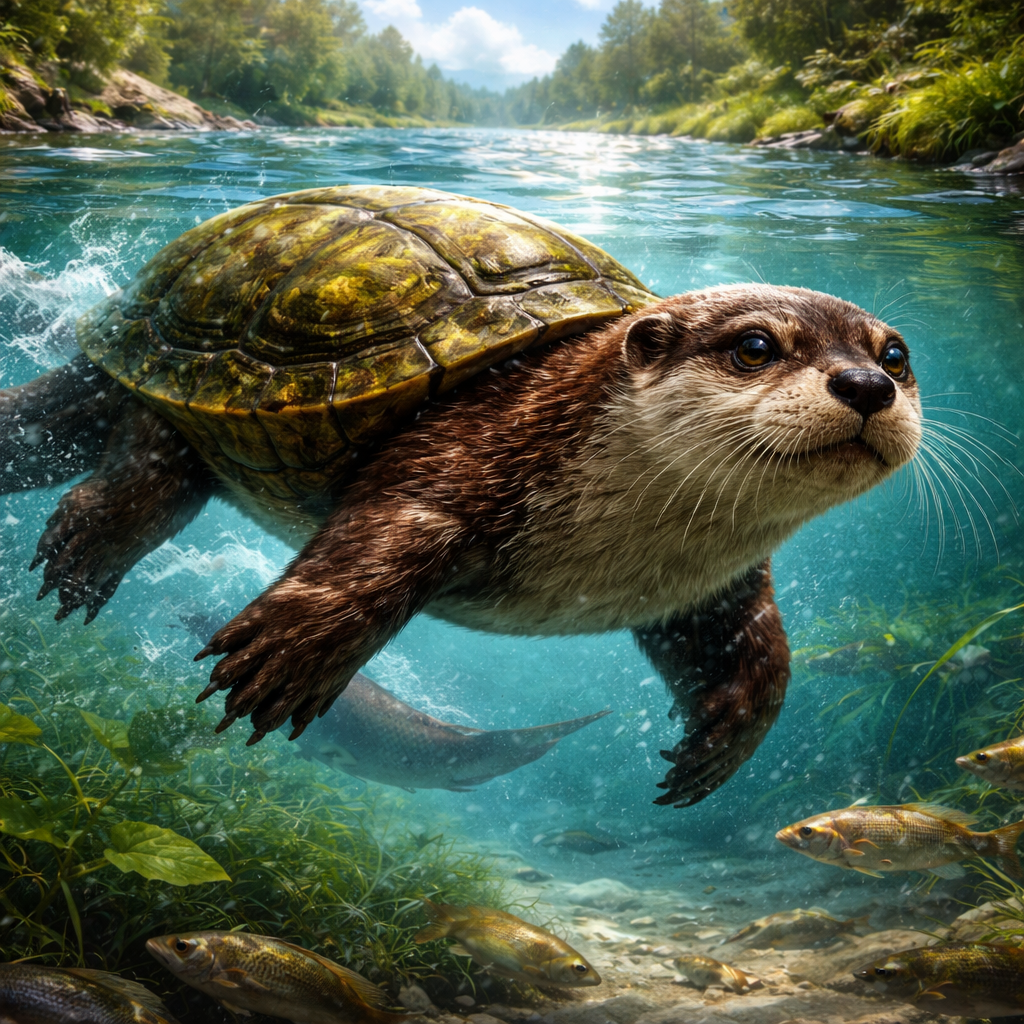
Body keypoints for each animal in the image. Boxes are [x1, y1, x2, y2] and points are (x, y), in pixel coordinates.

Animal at [0, 201, 921, 808]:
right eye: (757, 346)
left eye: (896, 354)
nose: (867, 384)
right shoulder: (455, 456)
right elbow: (366, 561)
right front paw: (283, 660)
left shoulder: (714, 583)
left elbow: (758, 654)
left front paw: (717, 750)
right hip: (163, 392)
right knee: (143, 472)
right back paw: (81, 560)